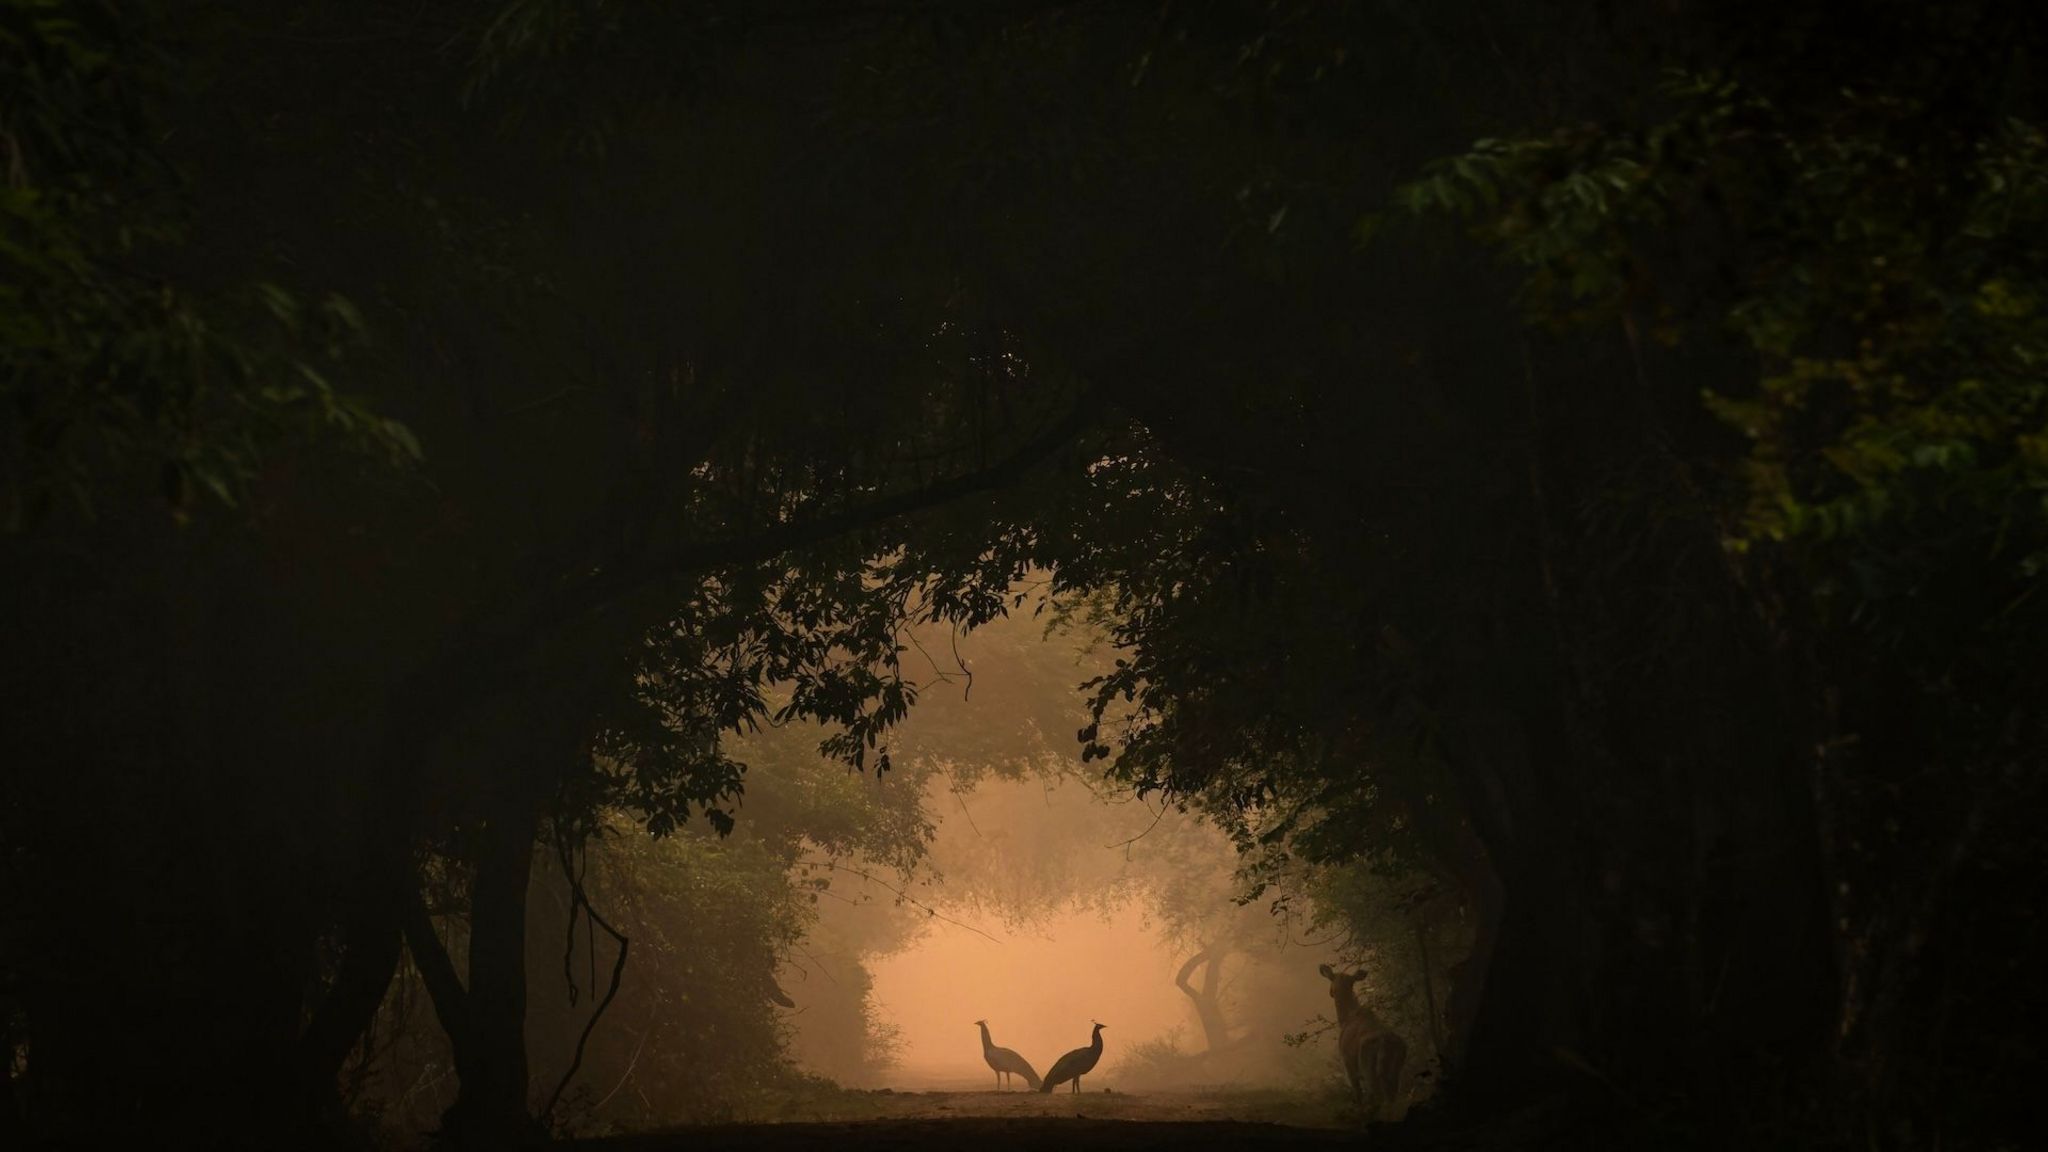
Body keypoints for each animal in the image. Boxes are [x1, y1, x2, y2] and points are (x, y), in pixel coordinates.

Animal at [1327, 959, 1409, 1115]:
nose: (1331, 992)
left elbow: (1358, 1094)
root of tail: (1384, 1041)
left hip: (1368, 1067)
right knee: (1393, 1097)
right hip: (1397, 1067)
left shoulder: (1347, 1064)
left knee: (1377, 1097)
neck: (1346, 1018)